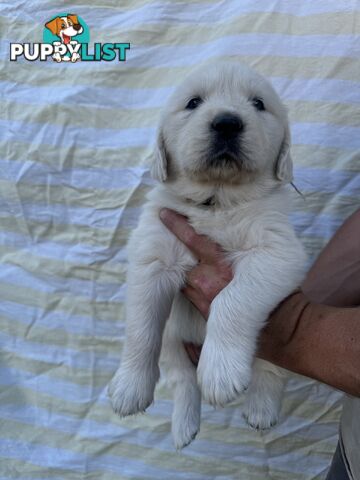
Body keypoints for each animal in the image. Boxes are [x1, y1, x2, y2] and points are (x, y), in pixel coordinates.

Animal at [107, 62, 306, 448]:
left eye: (258, 104)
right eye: (193, 102)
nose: (227, 122)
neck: (217, 201)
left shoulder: (276, 252)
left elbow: (233, 299)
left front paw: (220, 372)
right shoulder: (152, 258)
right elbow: (140, 329)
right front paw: (128, 387)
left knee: (270, 369)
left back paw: (260, 408)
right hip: (171, 336)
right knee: (182, 379)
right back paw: (184, 428)